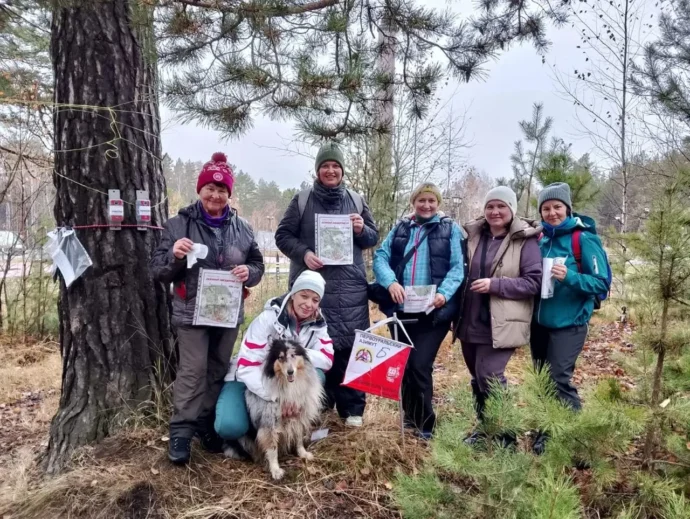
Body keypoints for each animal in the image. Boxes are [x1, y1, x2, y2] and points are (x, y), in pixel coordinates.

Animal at [224, 340, 324, 482]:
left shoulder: (298, 416)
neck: (288, 385)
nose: (290, 372)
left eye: (293, 355)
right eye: (280, 357)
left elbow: (298, 438)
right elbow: (272, 449)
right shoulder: (269, 424)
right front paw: (275, 470)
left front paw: (303, 453)